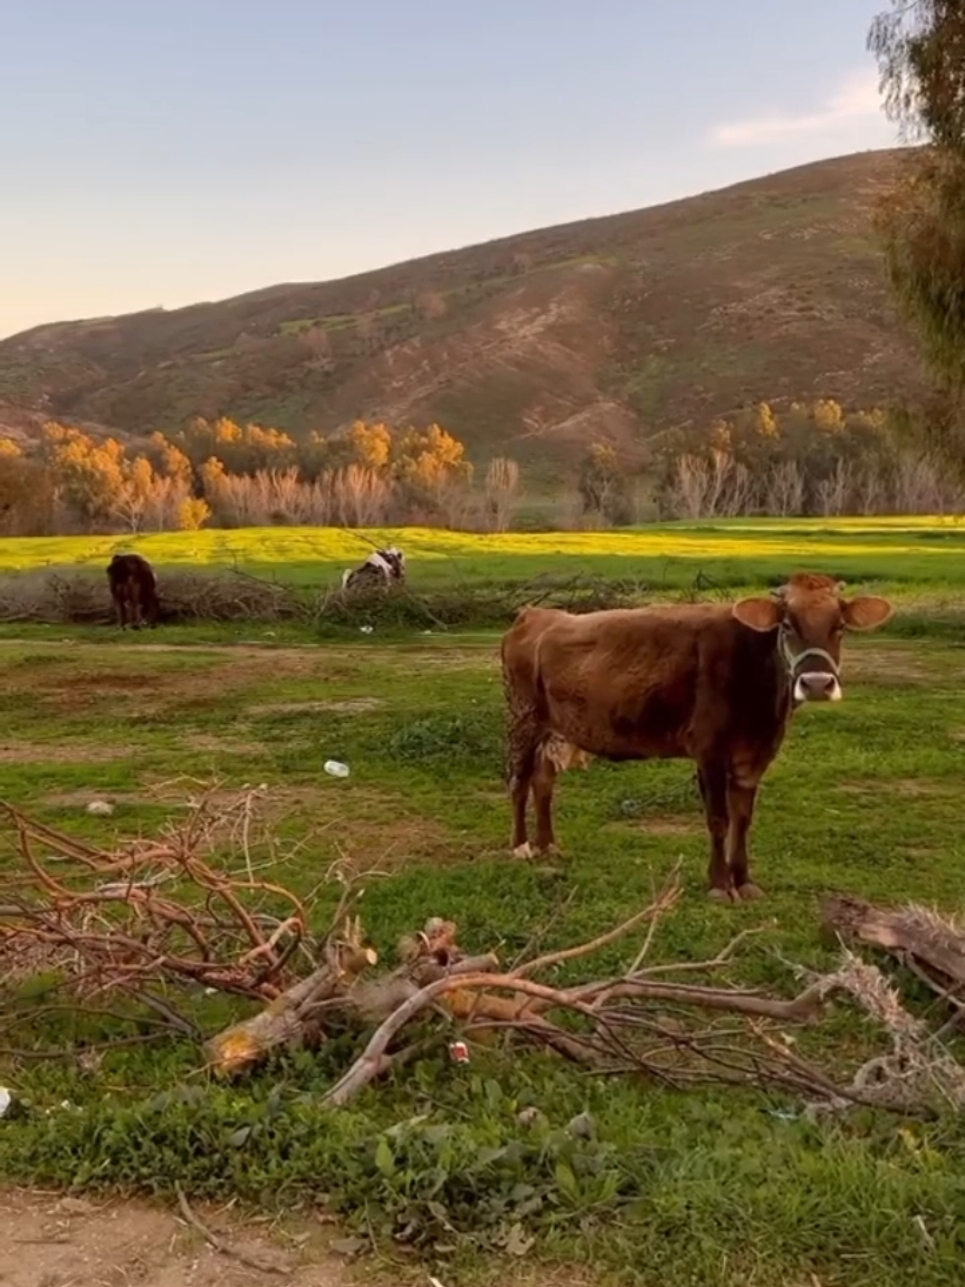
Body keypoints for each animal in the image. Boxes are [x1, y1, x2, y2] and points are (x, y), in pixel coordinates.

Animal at [501, 579, 895, 900]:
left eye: (839, 627)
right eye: (787, 625)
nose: (816, 684)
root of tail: (535, 614)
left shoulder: (753, 757)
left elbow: (743, 820)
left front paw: (744, 881)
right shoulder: (710, 751)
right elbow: (719, 819)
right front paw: (719, 885)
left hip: (554, 729)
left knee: (543, 782)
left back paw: (549, 845)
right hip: (522, 719)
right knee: (519, 782)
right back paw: (521, 846)